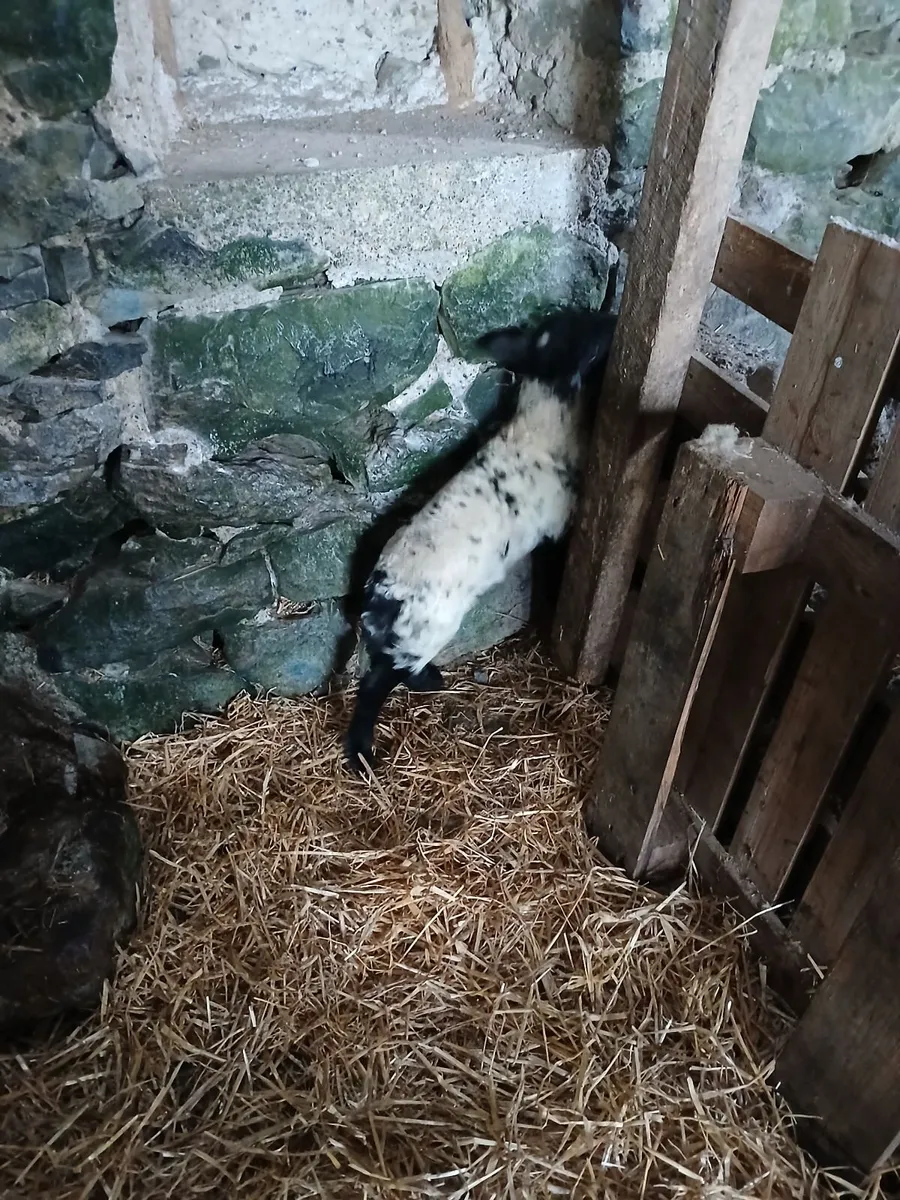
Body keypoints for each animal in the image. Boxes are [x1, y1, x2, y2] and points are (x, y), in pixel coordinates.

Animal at [344, 307, 618, 772]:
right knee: (376, 684)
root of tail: (376, 597)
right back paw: (365, 751)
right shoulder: (556, 528)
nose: (614, 320)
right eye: (579, 333)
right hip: (427, 628)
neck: (541, 425)